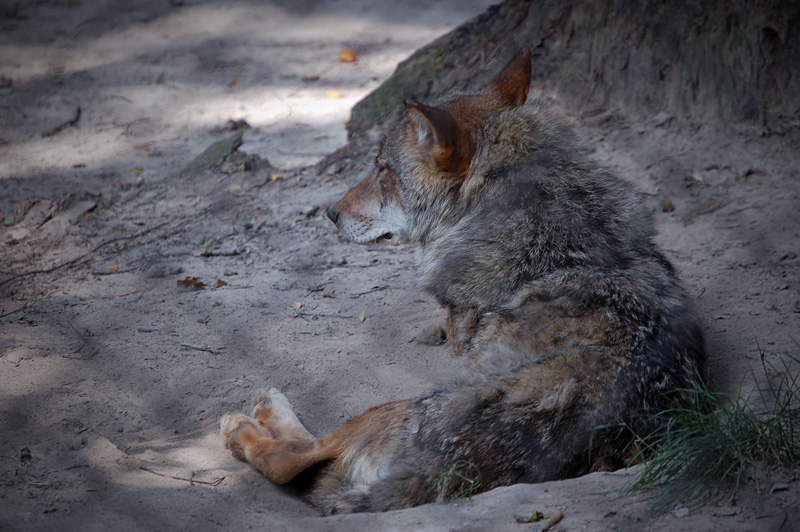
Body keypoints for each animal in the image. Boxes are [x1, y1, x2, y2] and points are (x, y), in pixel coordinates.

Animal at [217, 50, 700, 516]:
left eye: (383, 170)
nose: (331, 213)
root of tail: (439, 475)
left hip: (398, 406)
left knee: (294, 458)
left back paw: (248, 421)